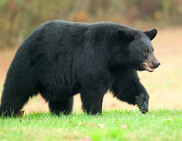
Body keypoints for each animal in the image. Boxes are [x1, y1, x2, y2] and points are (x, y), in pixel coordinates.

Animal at [0, 20, 160, 117]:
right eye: (144, 51)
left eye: (152, 49)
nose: (156, 63)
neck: (112, 55)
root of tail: (28, 37)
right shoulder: (94, 58)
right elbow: (93, 88)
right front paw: (95, 112)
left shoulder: (121, 69)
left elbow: (127, 86)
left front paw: (143, 103)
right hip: (29, 65)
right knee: (16, 89)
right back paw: (7, 112)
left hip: (56, 81)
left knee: (61, 98)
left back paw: (62, 113)